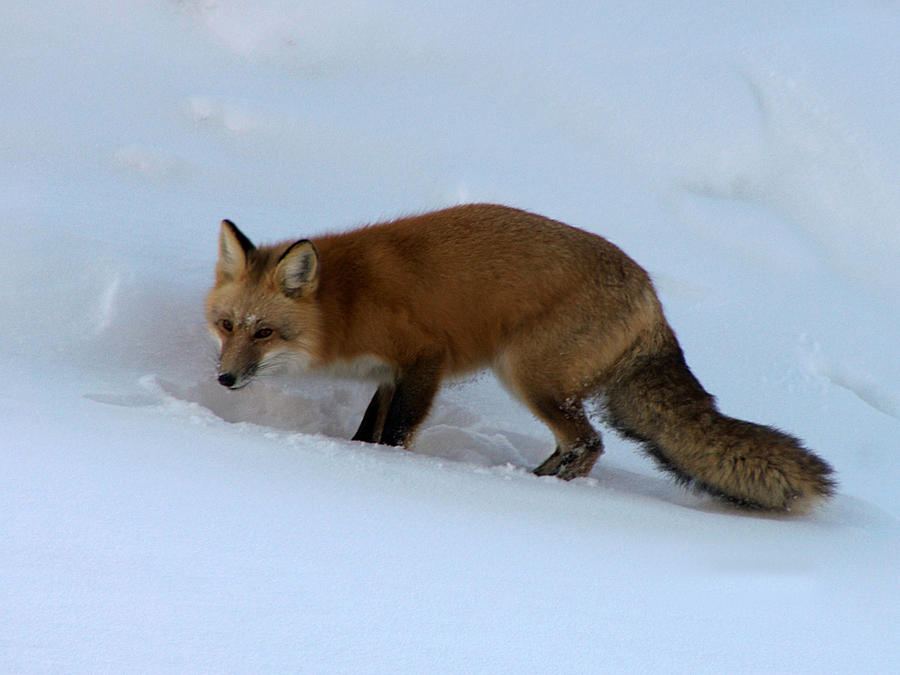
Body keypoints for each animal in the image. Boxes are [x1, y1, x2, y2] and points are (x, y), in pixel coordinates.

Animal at [207, 205, 832, 512]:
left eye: (266, 332)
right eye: (226, 325)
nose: (225, 378)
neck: (345, 303)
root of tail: (651, 296)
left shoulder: (424, 358)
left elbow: (396, 435)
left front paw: (389, 468)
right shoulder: (388, 375)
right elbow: (368, 431)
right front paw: (357, 454)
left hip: (526, 373)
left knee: (588, 443)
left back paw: (531, 489)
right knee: (577, 444)